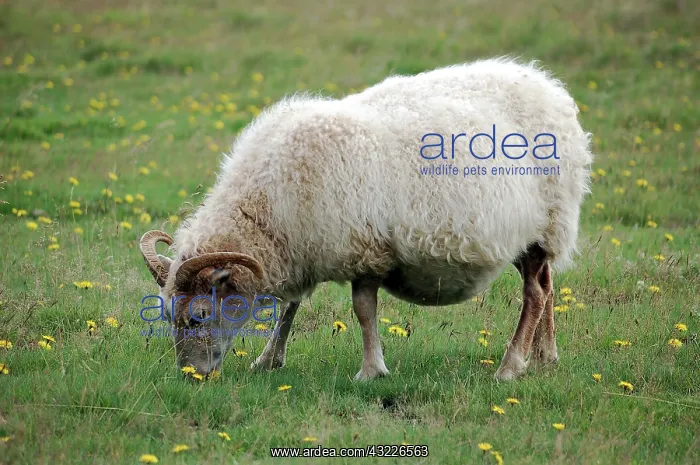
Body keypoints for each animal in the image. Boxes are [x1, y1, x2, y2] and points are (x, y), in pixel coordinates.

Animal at [140, 57, 593, 381]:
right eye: (166, 315)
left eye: (199, 315)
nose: (190, 375)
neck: (268, 205)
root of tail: (550, 89)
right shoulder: (303, 248)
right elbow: (290, 306)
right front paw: (268, 361)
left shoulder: (362, 250)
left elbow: (362, 311)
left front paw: (371, 371)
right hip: (531, 235)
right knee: (548, 285)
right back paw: (545, 356)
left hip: (549, 221)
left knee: (535, 294)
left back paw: (511, 367)